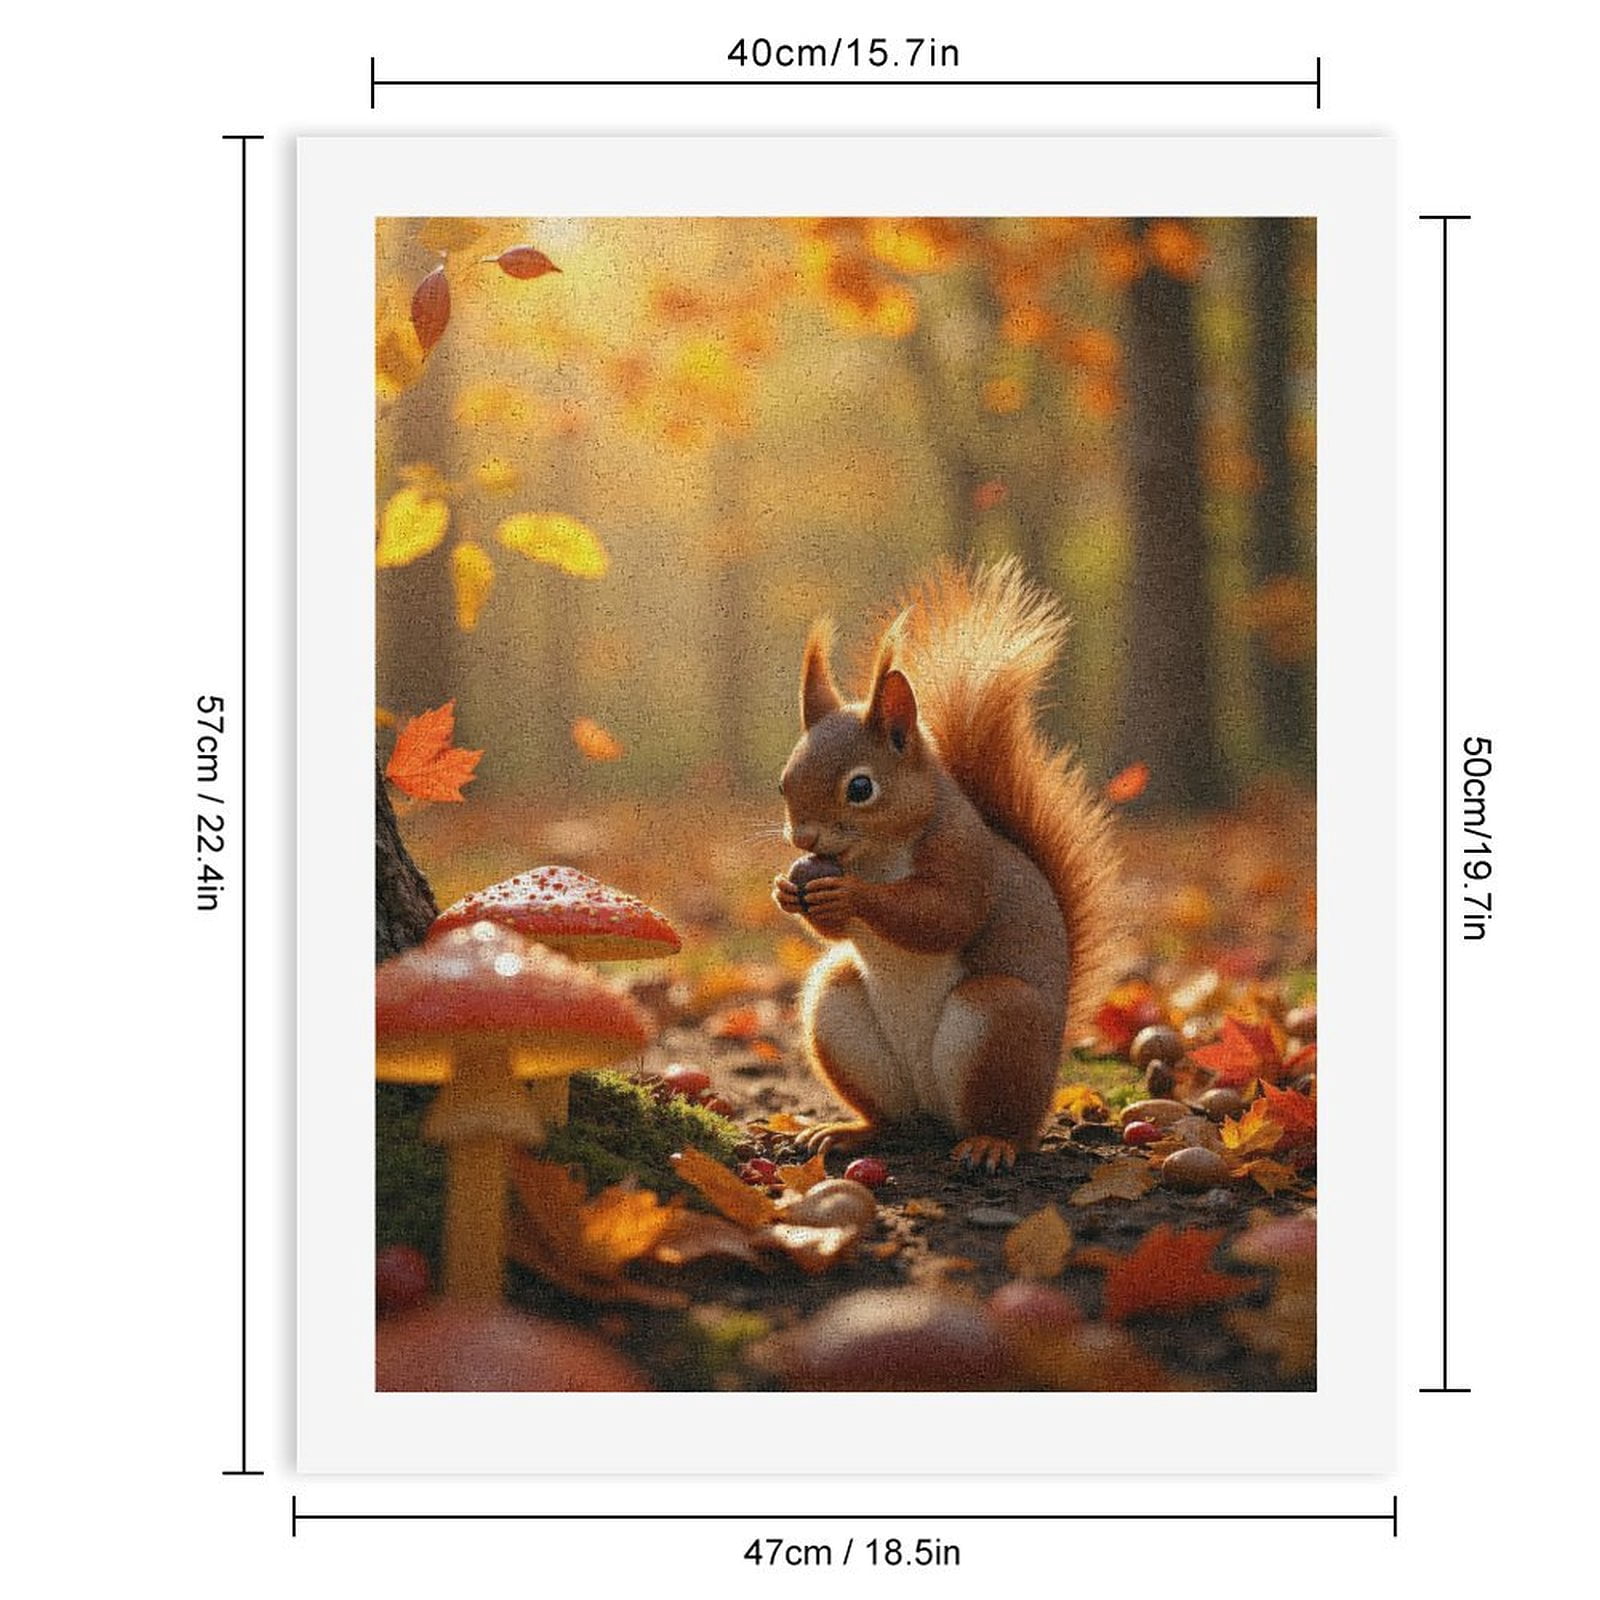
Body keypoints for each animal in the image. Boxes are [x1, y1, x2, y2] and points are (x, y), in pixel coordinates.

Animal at [772, 560, 1119, 1172]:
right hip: (837, 1011)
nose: (805, 838)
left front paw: (852, 895)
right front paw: (788, 893)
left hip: (997, 1018)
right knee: (892, 1119)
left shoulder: (964, 855)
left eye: (860, 788)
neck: (875, 856)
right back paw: (850, 1131)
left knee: (1004, 1123)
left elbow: (942, 915)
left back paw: (990, 1143)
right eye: (783, 782)